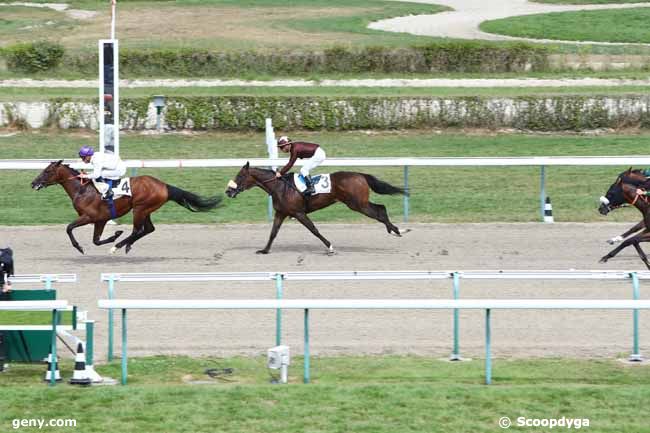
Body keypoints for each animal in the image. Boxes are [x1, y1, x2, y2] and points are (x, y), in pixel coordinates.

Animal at [31, 159, 221, 253]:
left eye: (47, 171)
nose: (33, 183)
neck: (82, 190)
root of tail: (164, 185)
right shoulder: (100, 220)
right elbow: (96, 241)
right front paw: (114, 235)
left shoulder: (89, 217)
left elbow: (69, 228)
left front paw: (80, 247)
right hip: (145, 209)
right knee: (148, 229)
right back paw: (126, 245)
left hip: (140, 209)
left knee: (138, 230)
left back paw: (118, 246)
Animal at [224, 161, 404, 253]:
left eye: (239, 176)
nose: (228, 191)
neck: (279, 187)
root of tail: (360, 175)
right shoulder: (281, 213)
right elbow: (273, 233)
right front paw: (264, 250)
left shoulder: (299, 213)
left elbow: (314, 230)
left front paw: (330, 246)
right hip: (359, 203)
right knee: (381, 208)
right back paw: (395, 229)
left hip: (357, 204)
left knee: (380, 211)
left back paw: (397, 230)